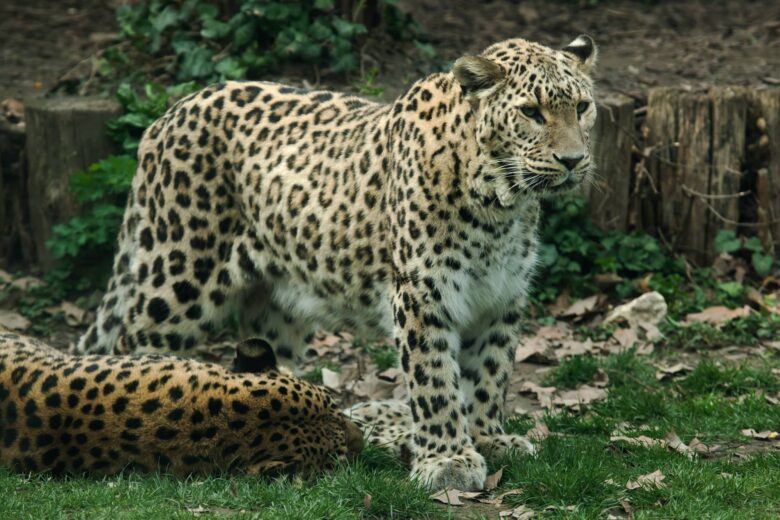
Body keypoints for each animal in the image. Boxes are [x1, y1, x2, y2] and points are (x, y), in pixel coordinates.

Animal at [76, 34, 598, 490]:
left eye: (582, 107)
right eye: (530, 112)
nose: (573, 160)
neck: (500, 204)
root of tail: (168, 114)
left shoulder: (500, 297)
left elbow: (488, 373)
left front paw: (490, 438)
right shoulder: (422, 294)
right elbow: (434, 379)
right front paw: (447, 459)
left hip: (275, 307)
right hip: (178, 280)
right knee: (131, 345)